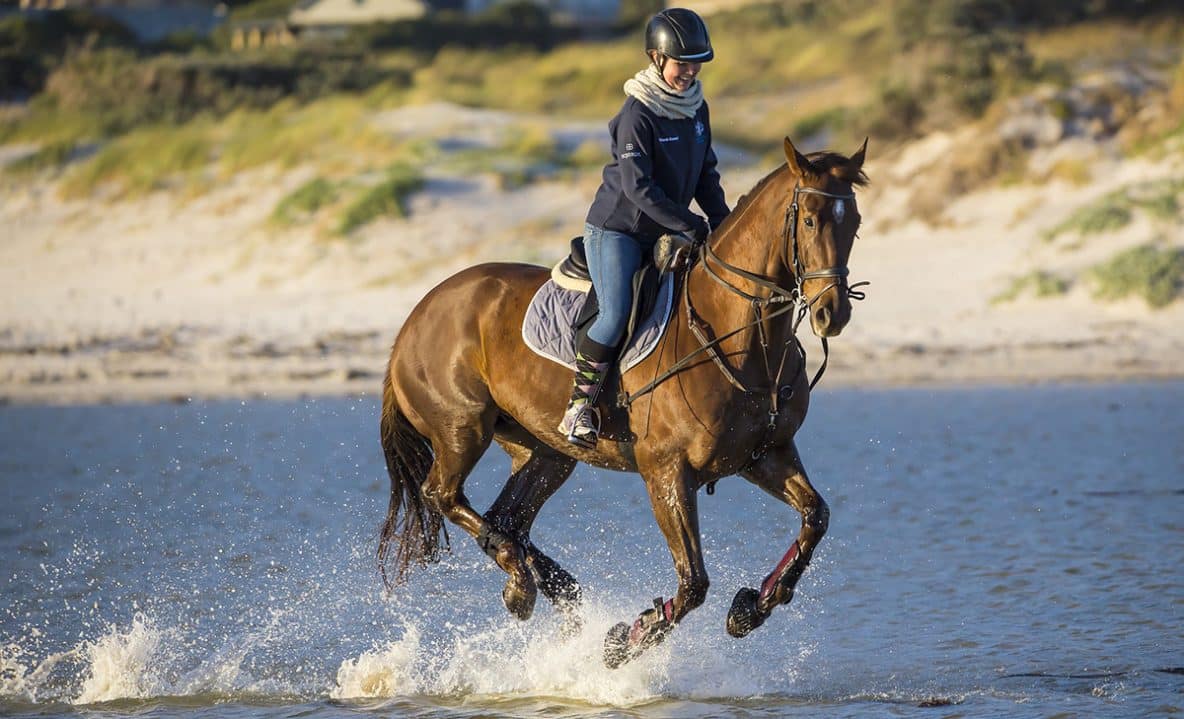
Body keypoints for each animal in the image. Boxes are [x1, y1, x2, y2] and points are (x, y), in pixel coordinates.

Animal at [378, 136, 868, 668]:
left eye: (855, 223)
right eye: (810, 221)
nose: (832, 313)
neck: (738, 337)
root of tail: (414, 317)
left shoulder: (764, 455)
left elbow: (815, 518)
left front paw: (750, 608)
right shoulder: (667, 473)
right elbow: (693, 583)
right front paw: (626, 640)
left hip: (545, 451)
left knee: (507, 518)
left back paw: (547, 587)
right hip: (461, 429)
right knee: (444, 494)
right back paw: (523, 584)